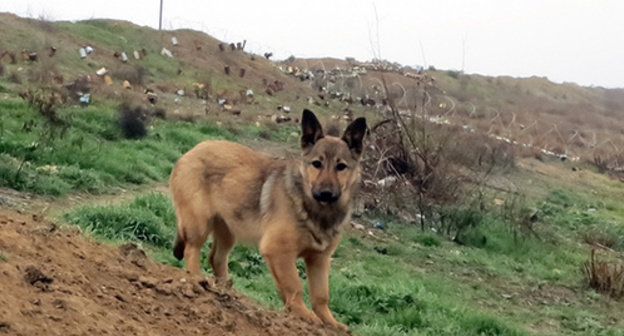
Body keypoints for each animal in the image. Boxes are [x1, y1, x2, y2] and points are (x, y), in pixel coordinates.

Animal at [171, 109, 366, 328]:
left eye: (341, 167)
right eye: (317, 164)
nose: (325, 193)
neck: (313, 208)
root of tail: (191, 151)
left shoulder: (319, 260)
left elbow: (321, 295)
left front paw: (329, 321)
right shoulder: (279, 252)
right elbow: (294, 286)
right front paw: (303, 314)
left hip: (227, 231)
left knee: (216, 258)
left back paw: (225, 289)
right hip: (199, 224)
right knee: (191, 250)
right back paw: (198, 280)